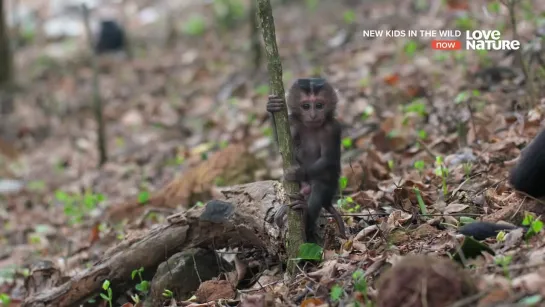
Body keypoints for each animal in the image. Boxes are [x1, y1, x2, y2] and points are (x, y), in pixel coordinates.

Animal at [266, 79, 346, 243]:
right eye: (306, 106)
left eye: (319, 105)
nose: (313, 115)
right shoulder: (291, 121)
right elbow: (283, 145)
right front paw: (272, 107)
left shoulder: (333, 128)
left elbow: (329, 158)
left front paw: (297, 173)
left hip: (329, 187)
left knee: (316, 193)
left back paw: (305, 217)